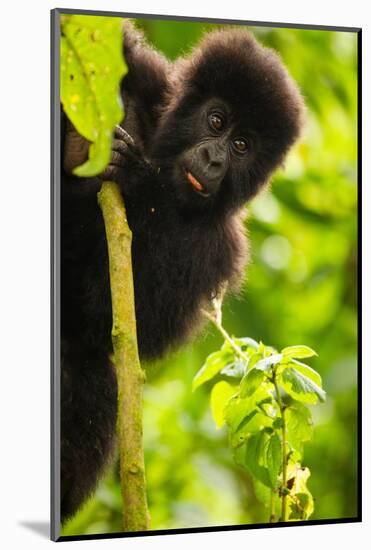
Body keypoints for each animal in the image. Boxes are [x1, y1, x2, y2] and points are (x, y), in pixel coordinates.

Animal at [61, 20, 306, 520]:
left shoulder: (220, 248)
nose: (214, 159)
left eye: (241, 146)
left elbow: (116, 321)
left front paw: (135, 176)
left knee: (94, 375)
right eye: (216, 121)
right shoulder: (151, 82)